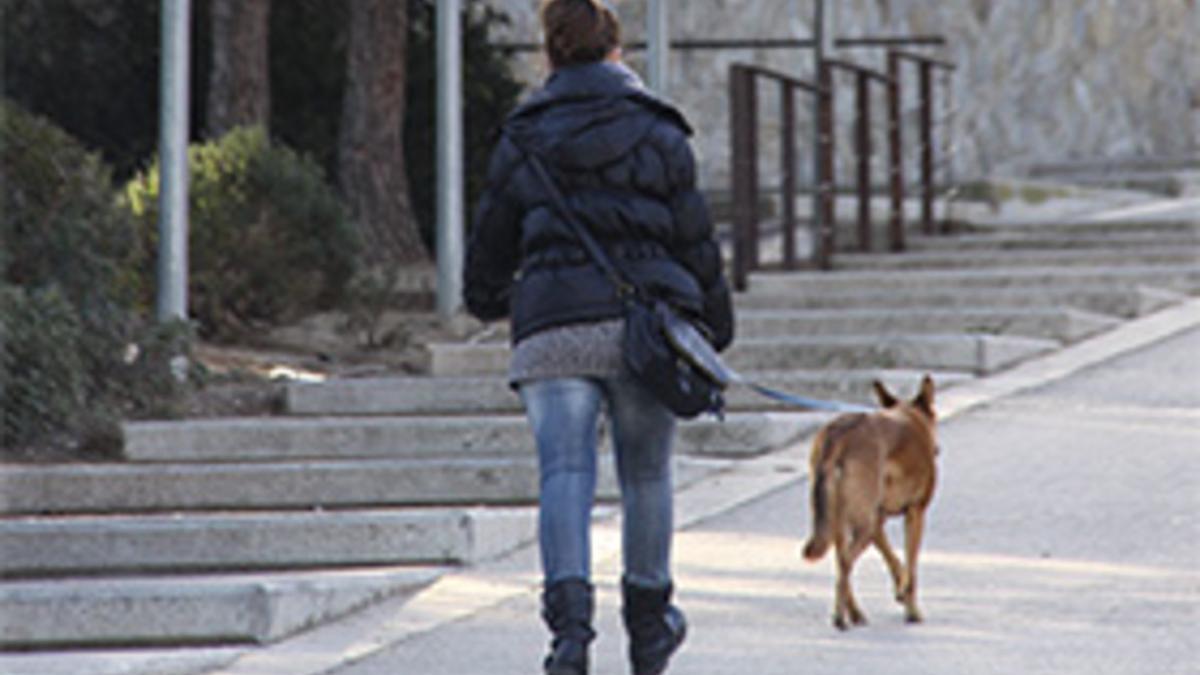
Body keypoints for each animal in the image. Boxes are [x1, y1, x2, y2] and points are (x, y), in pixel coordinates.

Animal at [806, 374, 936, 629]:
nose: (937, 449)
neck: (910, 416)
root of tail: (840, 434)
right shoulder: (915, 514)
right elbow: (911, 566)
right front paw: (911, 609)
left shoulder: (878, 520)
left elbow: (895, 560)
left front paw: (900, 590)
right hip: (863, 525)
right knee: (846, 563)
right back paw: (840, 616)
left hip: (841, 524)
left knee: (841, 563)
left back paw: (854, 613)